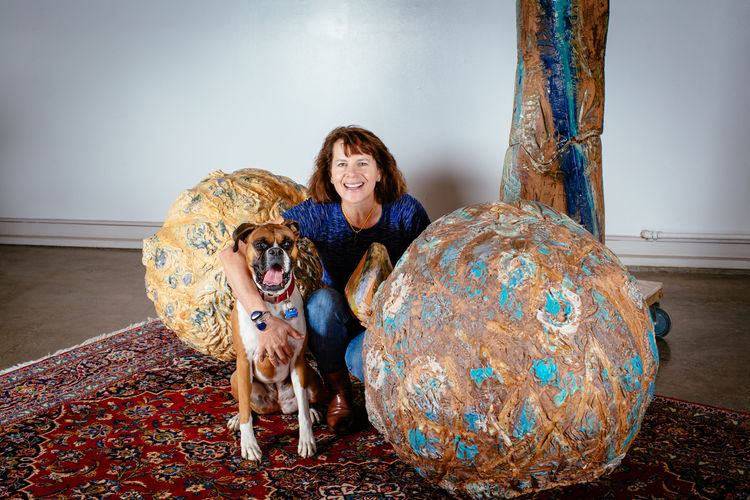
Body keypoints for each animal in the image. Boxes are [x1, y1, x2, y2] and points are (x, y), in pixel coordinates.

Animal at [228, 220, 324, 460]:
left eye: (287, 243)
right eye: (260, 244)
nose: (276, 252)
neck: (271, 302)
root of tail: (277, 405)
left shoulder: (298, 360)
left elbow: (302, 412)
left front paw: (307, 440)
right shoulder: (244, 362)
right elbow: (245, 409)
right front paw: (249, 445)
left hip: (312, 378)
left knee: (304, 401)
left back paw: (312, 411)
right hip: (236, 378)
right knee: (248, 407)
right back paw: (236, 419)